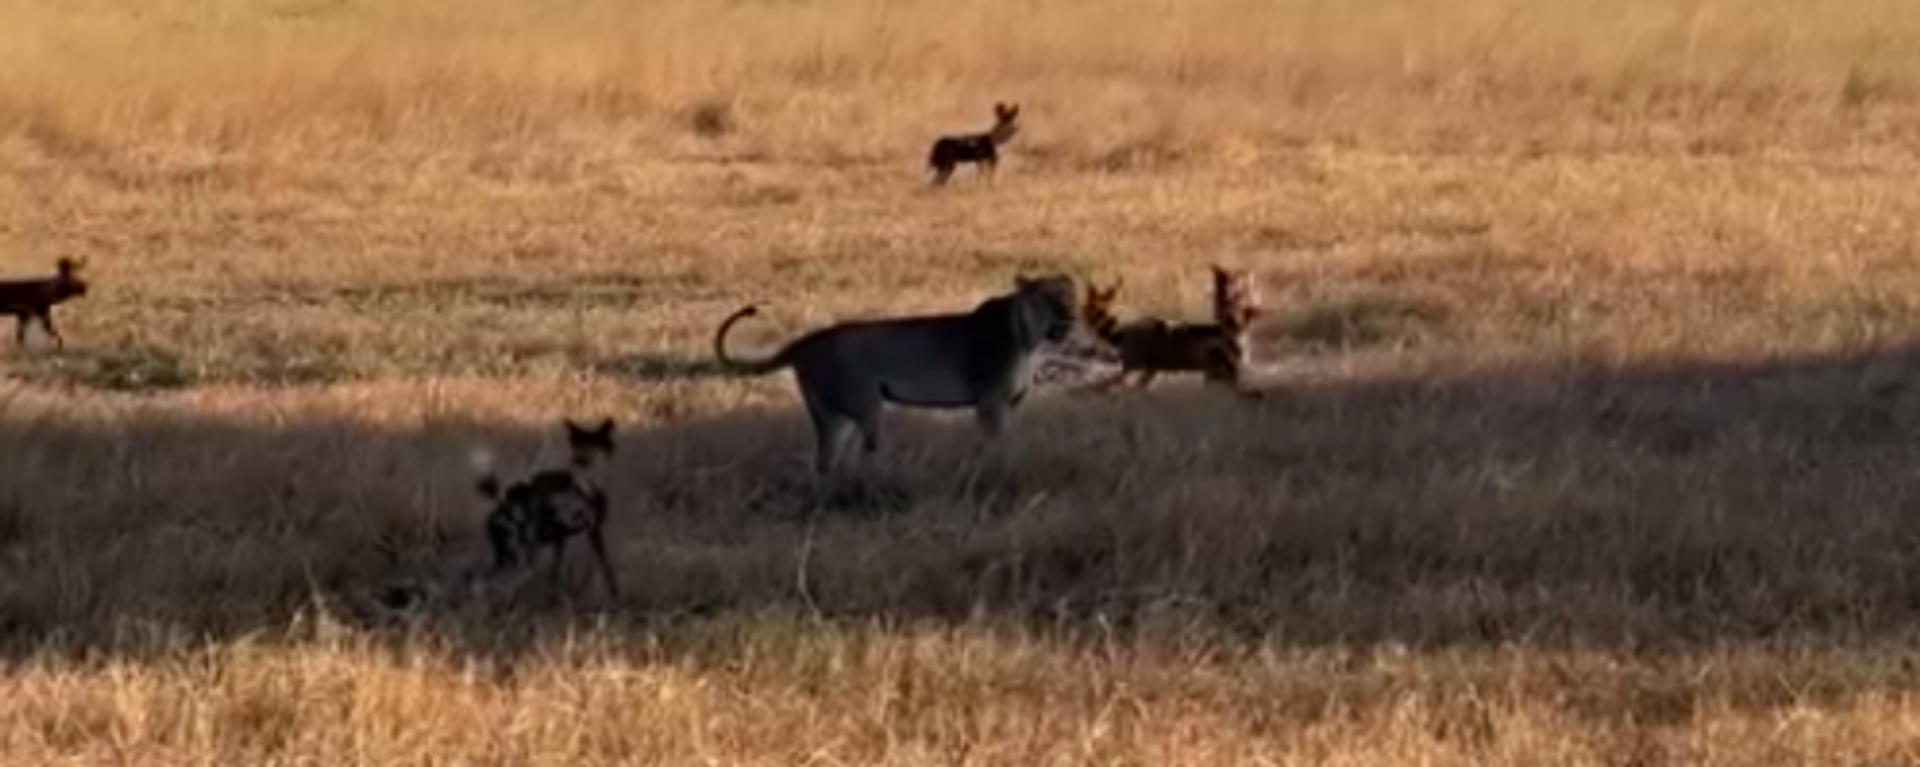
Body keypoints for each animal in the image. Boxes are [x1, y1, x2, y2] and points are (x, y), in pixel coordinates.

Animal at [474, 420, 618, 599]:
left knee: (481, 583)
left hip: (506, 556)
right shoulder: (593, 531)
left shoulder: (560, 540)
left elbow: (555, 575)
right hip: (524, 558)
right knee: (503, 586)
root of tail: (501, 506)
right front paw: (614, 596)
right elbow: (606, 568)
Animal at [718, 271, 1082, 474]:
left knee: (826, 461)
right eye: (1046, 298)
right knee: (865, 454)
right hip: (866, 405)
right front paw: (995, 468)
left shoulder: (1010, 404)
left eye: (1070, 297)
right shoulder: (989, 399)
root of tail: (805, 343)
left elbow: (1007, 439)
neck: (1031, 339)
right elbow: (992, 443)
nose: (1069, 318)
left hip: (833, 416)